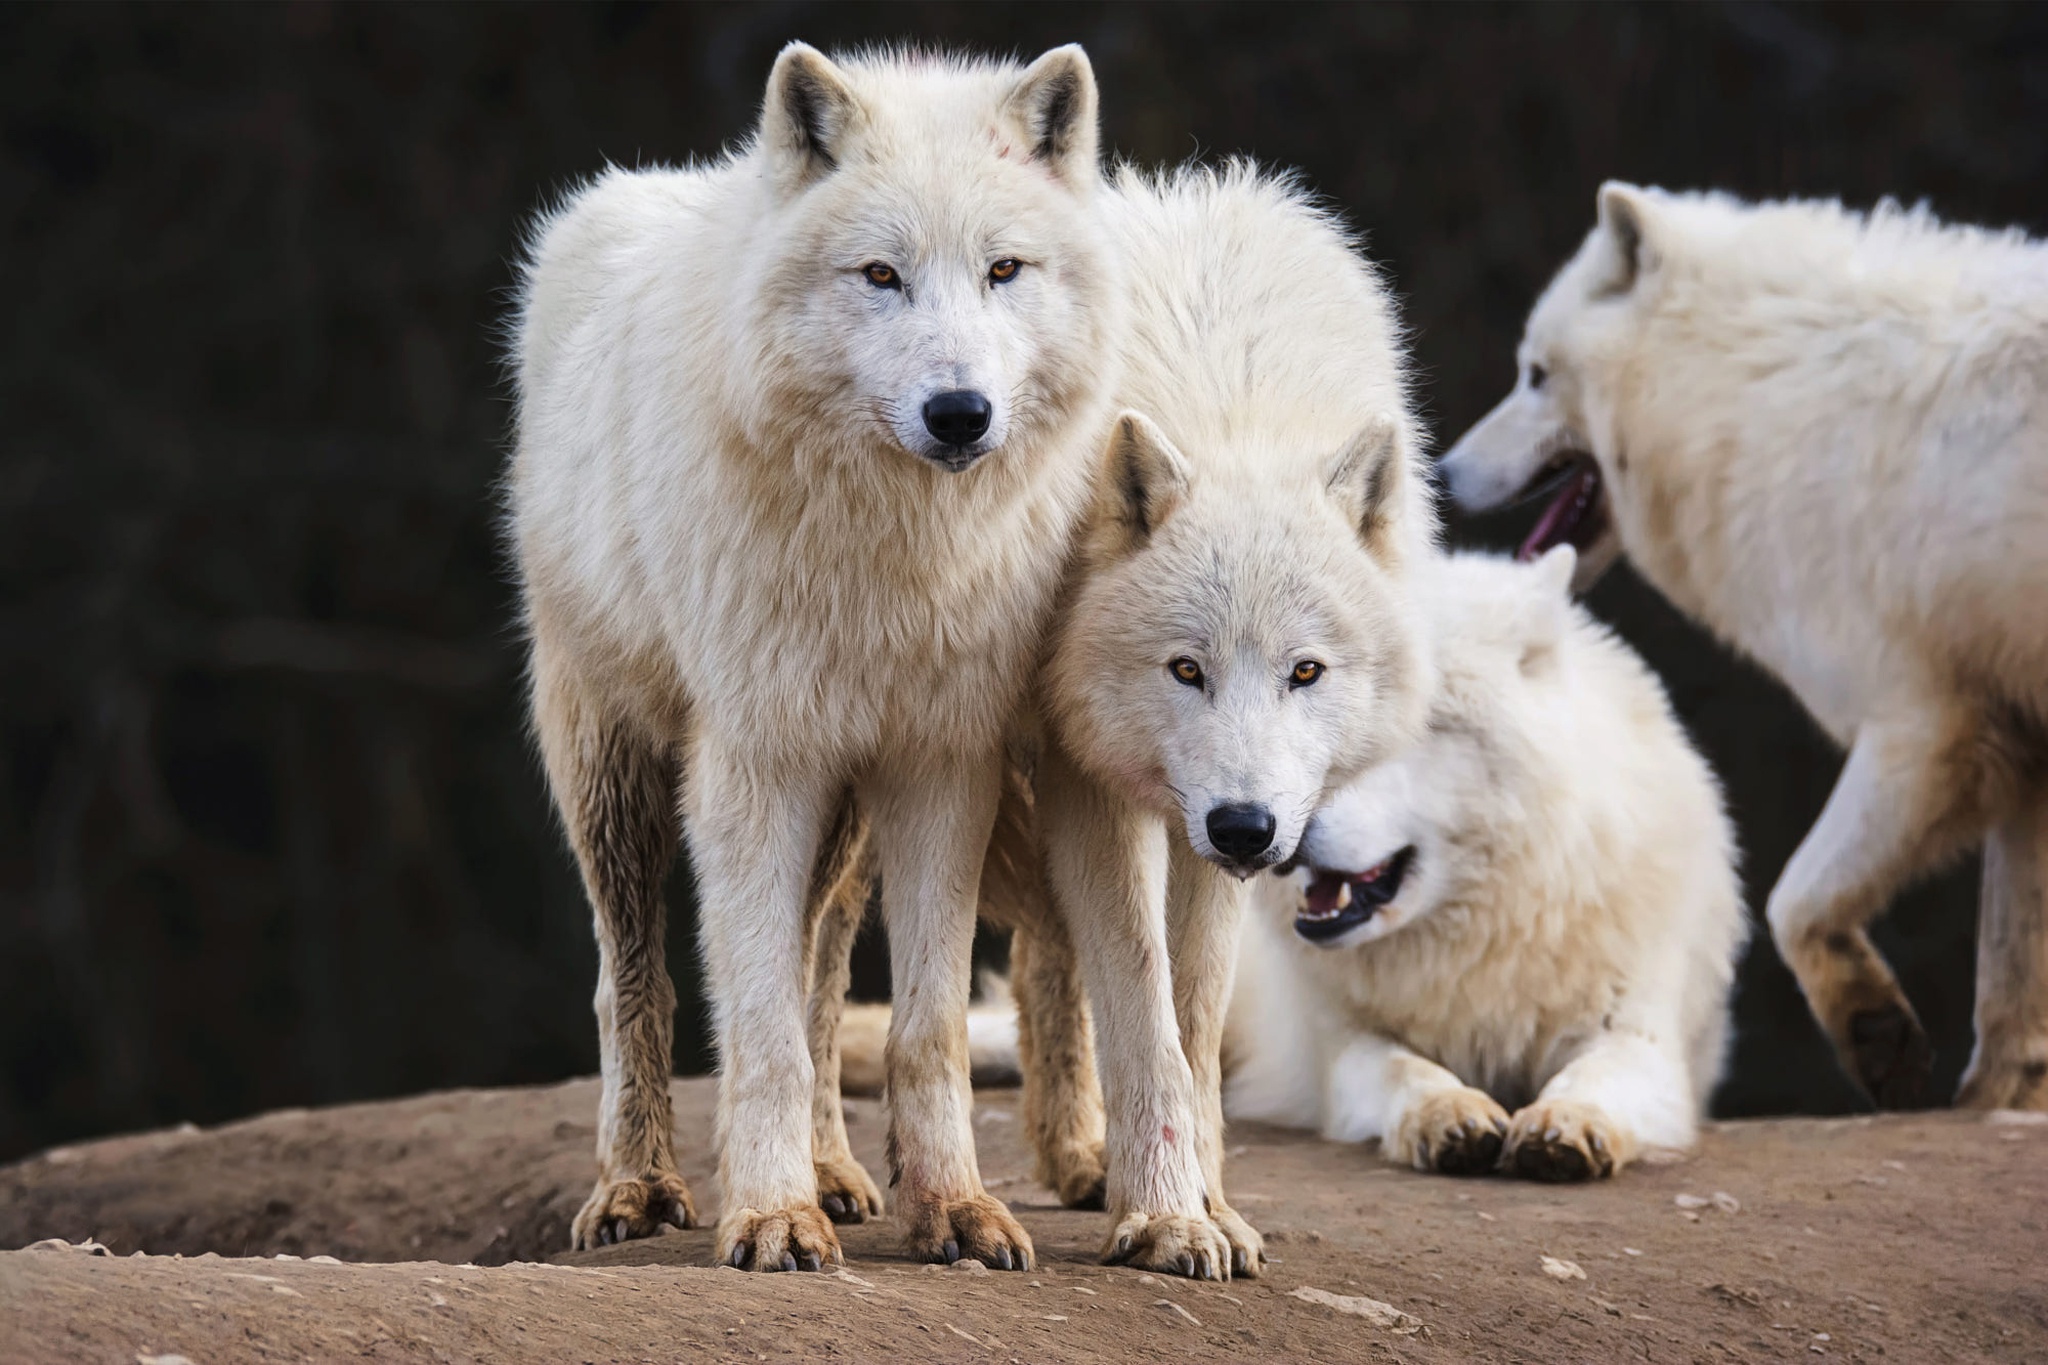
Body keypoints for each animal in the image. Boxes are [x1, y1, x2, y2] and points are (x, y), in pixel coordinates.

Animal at [505, 45, 1130, 1268]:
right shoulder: (752, 766)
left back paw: (837, 1170)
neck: (895, 557)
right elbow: (752, 1026)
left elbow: (920, 1028)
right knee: (634, 982)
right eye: (880, 275)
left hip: (845, 806)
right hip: (613, 771)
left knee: (821, 967)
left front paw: (949, 1206)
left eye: (1003, 270)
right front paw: (767, 1215)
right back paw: (638, 1187)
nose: (959, 411)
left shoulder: (941, 764)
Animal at [1032, 162, 1433, 1285]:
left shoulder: (1198, 831)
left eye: (1305, 671)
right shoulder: (1094, 792)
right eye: (1185, 669)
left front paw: (1206, 1203)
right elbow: (1141, 1006)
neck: (1230, 409)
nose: (1248, 830)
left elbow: (1198, 1012)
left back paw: (1077, 1161)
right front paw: (1167, 1218)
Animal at [1220, 544, 1753, 1178]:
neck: (1487, 938)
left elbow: (1593, 1076)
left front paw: (1564, 1123)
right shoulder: (1342, 1045)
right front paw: (1452, 1115)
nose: (1272, 824)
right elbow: (1408, 1070)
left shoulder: (1638, 1035)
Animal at [1441, 181, 2048, 1113]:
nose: (1441, 474)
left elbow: (1792, 898)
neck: (1751, 401)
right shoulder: (2016, 740)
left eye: (1536, 375)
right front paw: (1996, 1105)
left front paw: (1880, 1038)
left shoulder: (1923, 725)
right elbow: (2012, 980)